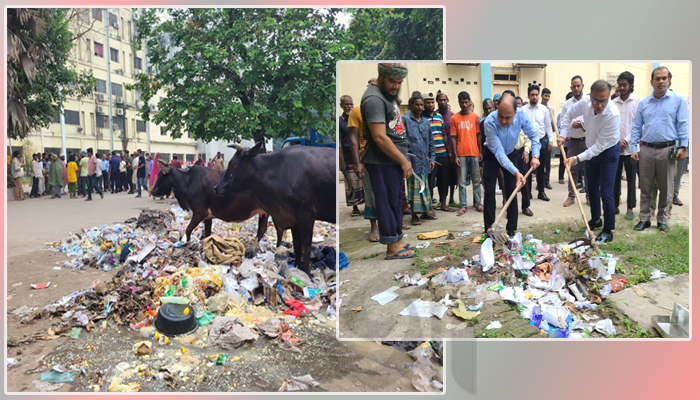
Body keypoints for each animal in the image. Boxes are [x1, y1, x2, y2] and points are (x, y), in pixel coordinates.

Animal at [152, 163, 284, 247]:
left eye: (161, 176)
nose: (152, 191)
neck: (187, 181)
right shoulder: (208, 217)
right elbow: (207, 233)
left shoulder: (199, 212)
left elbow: (188, 230)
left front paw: (187, 243)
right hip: (264, 212)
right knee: (266, 229)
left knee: (273, 229)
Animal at [213, 142, 336, 274]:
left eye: (233, 165)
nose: (216, 187)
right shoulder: (293, 219)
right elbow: (297, 246)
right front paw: (296, 267)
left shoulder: (307, 214)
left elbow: (306, 247)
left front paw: (306, 272)